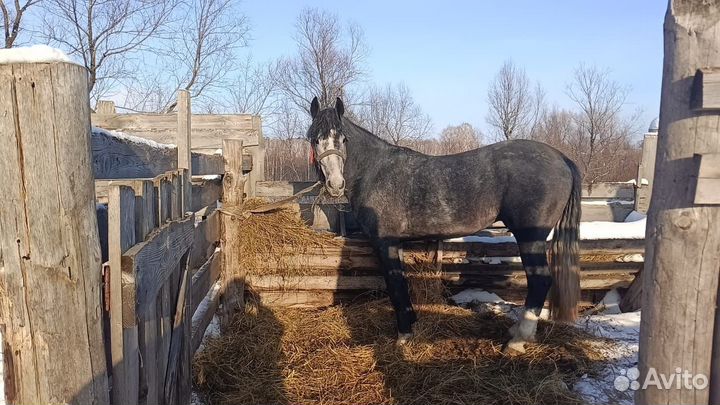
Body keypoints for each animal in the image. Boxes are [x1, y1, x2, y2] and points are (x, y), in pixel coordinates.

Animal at [306, 96, 581, 353]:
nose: (335, 184)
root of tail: (561, 158)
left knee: (540, 281)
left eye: (343, 139)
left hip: (530, 237)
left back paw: (517, 341)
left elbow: (395, 286)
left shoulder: (385, 242)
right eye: (315, 139)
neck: (374, 172)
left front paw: (403, 335)